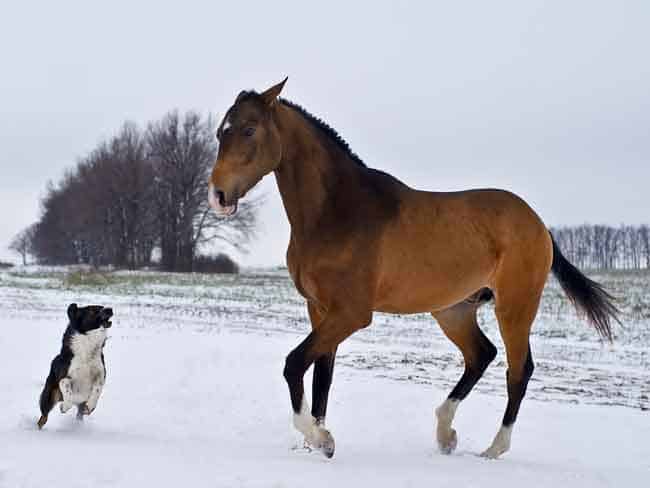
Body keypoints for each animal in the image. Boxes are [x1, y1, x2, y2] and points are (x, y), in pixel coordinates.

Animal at [208, 78, 616, 460]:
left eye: (249, 129)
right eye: (219, 132)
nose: (218, 196)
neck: (336, 212)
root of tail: (539, 225)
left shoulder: (351, 314)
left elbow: (294, 364)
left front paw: (319, 438)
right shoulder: (320, 309)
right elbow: (322, 373)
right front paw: (318, 444)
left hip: (515, 307)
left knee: (518, 370)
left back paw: (493, 449)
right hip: (454, 310)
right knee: (481, 355)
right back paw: (445, 434)